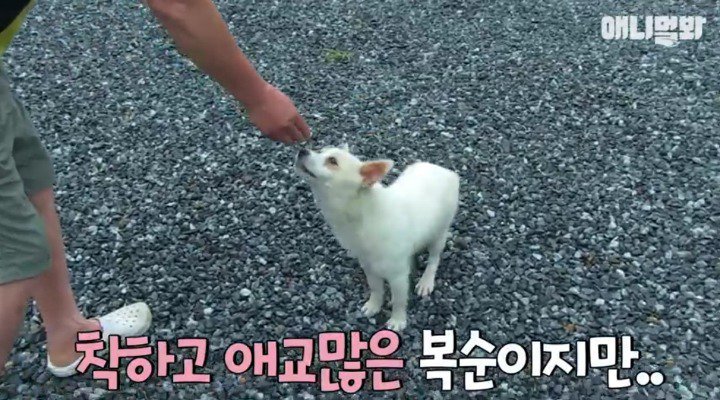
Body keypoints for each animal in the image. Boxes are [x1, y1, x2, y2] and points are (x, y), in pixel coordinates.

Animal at [294, 145, 460, 331]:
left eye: (332, 161)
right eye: (321, 151)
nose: (302, 150)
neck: (361, 213)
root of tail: (445, 171)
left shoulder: (397, 275)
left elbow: (400, 299)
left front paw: (398, 320)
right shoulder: (369, 266)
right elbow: (376, 289)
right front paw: (374, 306)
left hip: (439, 233)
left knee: (434, 258)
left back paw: (426, 281)